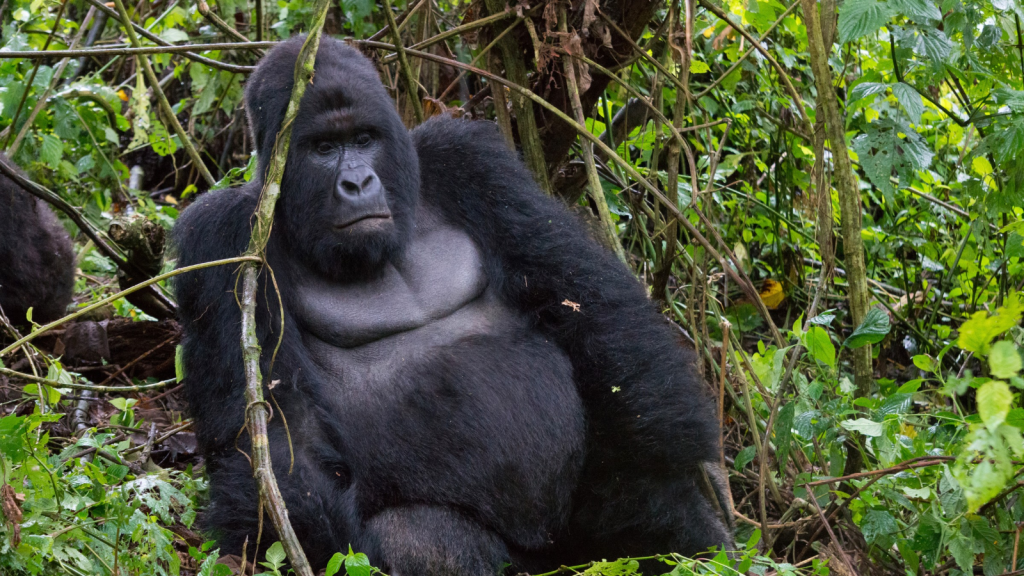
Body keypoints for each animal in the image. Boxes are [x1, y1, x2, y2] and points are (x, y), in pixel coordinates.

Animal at [174, 36, 737, 573]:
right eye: (323, 147)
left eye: (364, 140)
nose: (357, 182)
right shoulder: (222, 239)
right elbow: (273, 442)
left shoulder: (467, 157)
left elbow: (588, 307)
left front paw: (656, 474)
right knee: (417, 538)